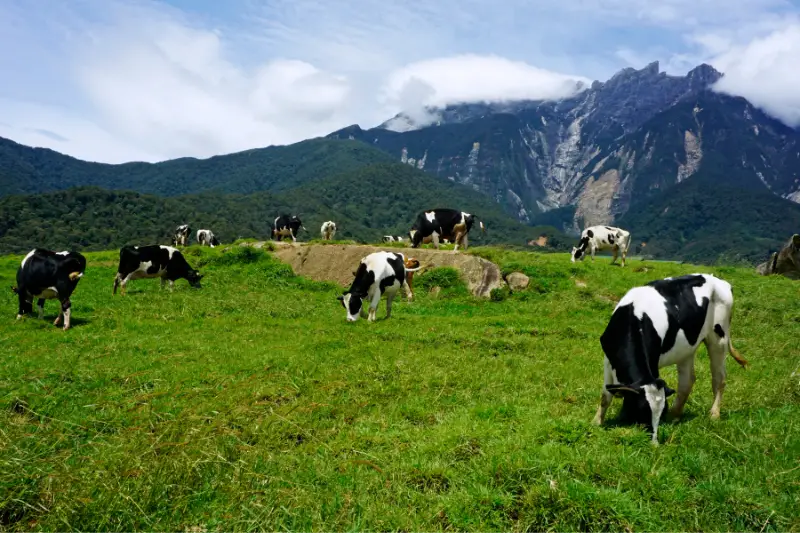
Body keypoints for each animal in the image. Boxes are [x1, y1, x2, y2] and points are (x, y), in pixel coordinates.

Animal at [592, 273, 749, 445]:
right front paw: (597, 422)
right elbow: (605, 396)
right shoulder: (608, 360)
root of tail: (719, 281)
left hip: (719, 338)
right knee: (687, 381)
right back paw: (675, 415)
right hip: (687, 349)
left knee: (719, 378)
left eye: (660, 412)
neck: (633, 320)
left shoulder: (653, 363)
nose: (653, 442)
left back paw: (713, 414)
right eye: (642, 410)